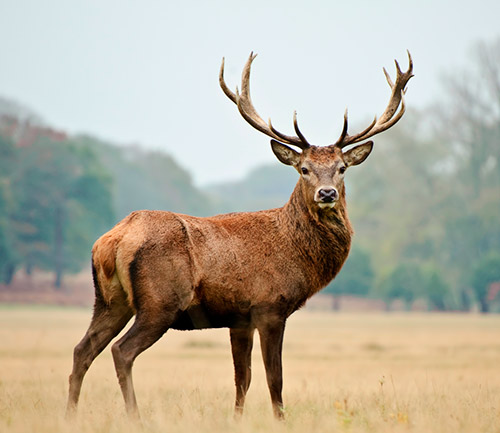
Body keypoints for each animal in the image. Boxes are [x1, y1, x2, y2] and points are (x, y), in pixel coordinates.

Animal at [66, 50, 414, 418]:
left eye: (342, 168)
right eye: (304, 169)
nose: (327, 193)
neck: (295, 252)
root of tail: (113, 239)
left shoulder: (239, 318)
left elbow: (242, 379)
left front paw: (237, 419)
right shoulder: (269, 306)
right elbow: (274, 378)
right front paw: (280, 419)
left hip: (109, 300)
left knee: (82, 349)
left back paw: (70, 414)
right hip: (159, 302)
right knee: (122, 351)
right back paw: (135, 417)